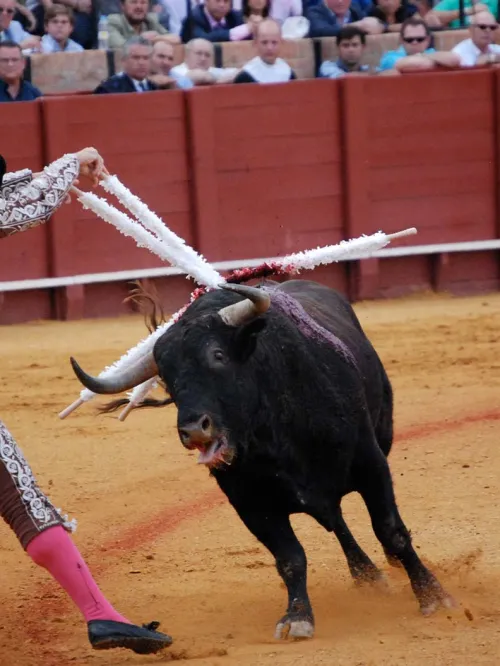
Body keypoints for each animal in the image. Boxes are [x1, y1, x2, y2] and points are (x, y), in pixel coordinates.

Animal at [70, 278, 458, 640]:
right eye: (165, 375)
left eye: (218, 355)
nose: (193, 429)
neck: (275, 431)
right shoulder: (249, 503)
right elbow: (290, 558)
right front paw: (297, 617)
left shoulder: (371, 464)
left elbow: (390, 530)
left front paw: (433, 596)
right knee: (335, 521)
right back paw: (366, 576)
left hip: (382, 438)